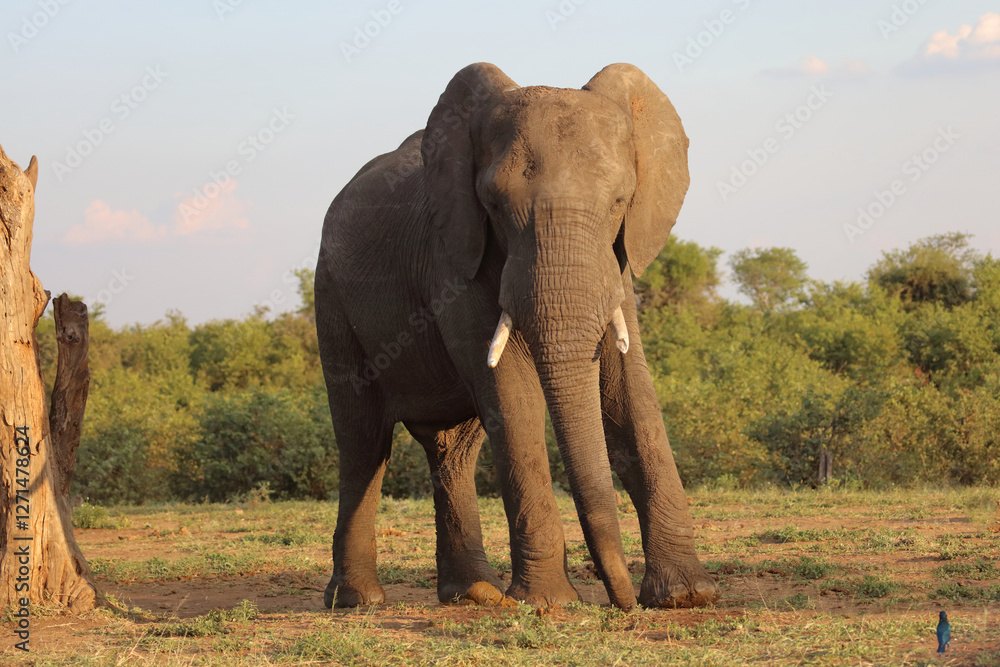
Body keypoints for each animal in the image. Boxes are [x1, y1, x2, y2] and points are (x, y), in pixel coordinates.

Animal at [315, 62, 718, 610]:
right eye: (494, 204)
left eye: (620, 201)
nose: (623, 602)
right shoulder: (453, 255)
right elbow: (514, 394)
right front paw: (550, 604)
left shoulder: (619, 259)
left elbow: (630, 389)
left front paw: (686, 595)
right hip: (331, 296)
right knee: (363, 442)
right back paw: (357, 600)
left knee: (453, 449)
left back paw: (474, 594)